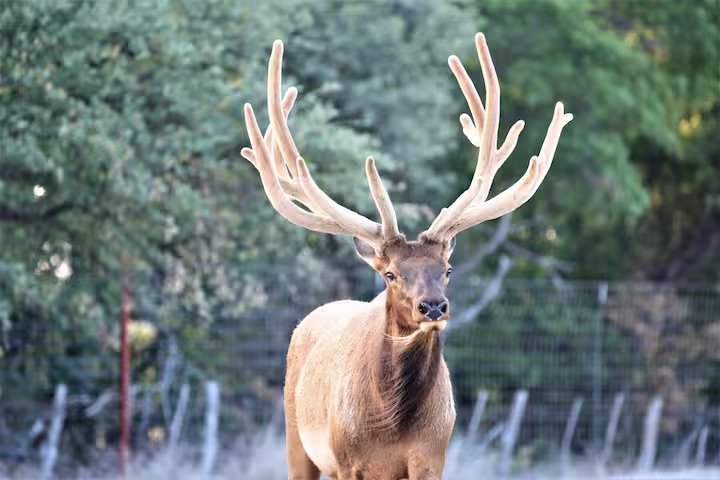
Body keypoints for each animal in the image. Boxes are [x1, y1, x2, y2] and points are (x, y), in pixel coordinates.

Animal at [240, 33, 572, 480]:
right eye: (391, 274)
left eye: (447, 269)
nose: (433, 307)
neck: (391, 426)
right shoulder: (346, 460)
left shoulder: (431, 455)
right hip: (297, 438)